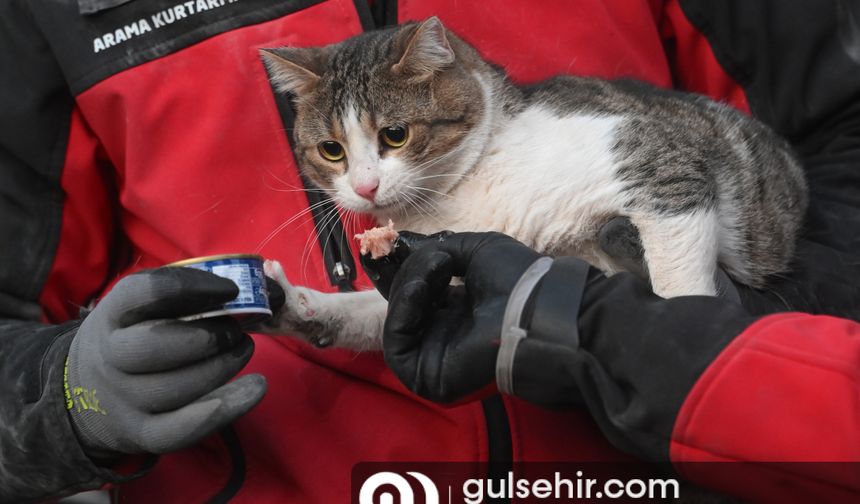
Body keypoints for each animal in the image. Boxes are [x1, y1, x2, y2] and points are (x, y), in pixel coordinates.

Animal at [258, 16, 808, 350]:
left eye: (395, 135)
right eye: (332, 150)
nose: (365, 187)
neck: (459, 193)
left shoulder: (655, 159)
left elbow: (679, 276)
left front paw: (686, 325)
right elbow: (370, 311)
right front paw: (293, 303)